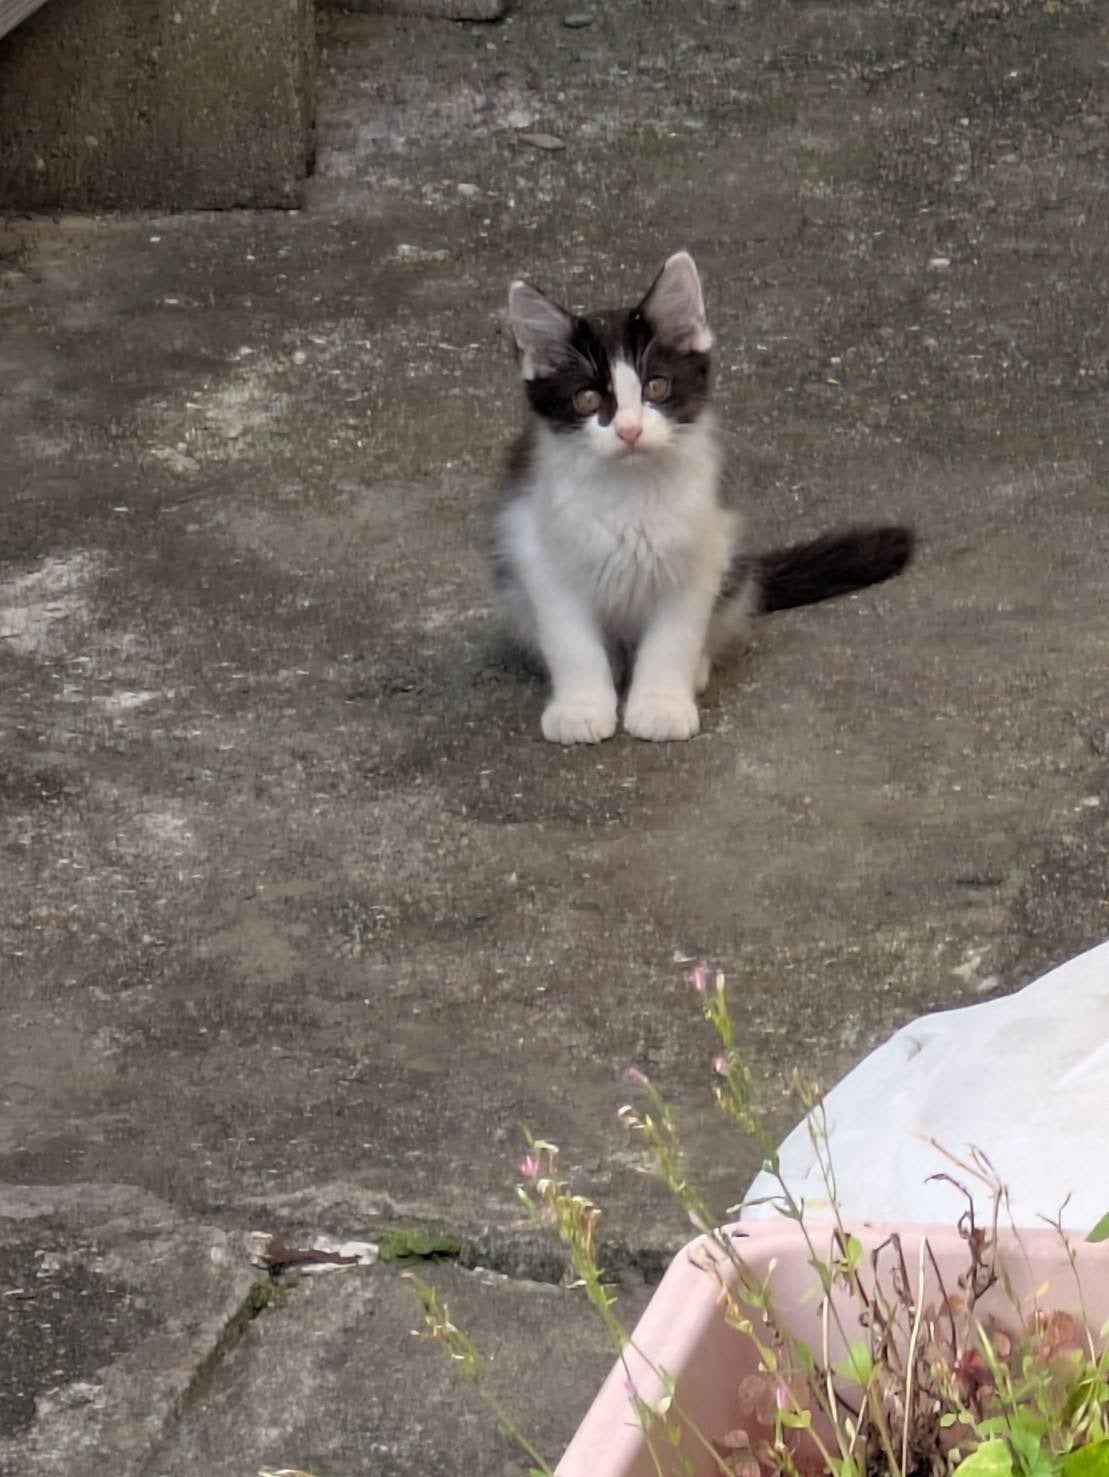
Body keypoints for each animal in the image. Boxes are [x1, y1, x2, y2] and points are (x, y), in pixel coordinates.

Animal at [491, 251, 914, 745]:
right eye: (588, 399)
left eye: (656, 387)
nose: (629, 430)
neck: (630, 492)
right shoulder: (539, 551)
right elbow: (572, 642)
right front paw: (581, 707)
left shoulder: (702, 548)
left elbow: (672, 639)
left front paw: (661, 705)